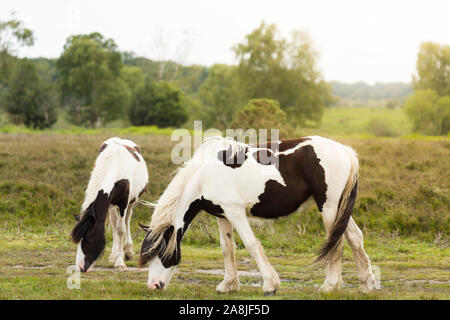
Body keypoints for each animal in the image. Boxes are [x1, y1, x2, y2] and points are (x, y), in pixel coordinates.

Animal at [70, 136, 148, 272]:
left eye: (89, 238)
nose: (79, 267)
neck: (115, 165)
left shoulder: (124, 203)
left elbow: (121, 229)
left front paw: (120, 263)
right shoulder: (110, 202)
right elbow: (114, 226)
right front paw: (115, 257)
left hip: (132, 202)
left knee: (127, 220)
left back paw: (128, 252)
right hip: (112, 205)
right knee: (114, 222)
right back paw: (114, 255)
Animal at [138, 135, 376, 296]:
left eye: (160, 251)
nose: (153, 285)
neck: (203, 175)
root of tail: (346, 152)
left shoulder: (235, 212)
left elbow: (252, 245)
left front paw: (270, 285)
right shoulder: (222, 215)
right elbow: (227, 249)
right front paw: (228, 285)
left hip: (329, 207)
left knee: (336, 243)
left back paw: (330, 286)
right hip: (339, 208)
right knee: (355, 237)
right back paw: (366, 284)